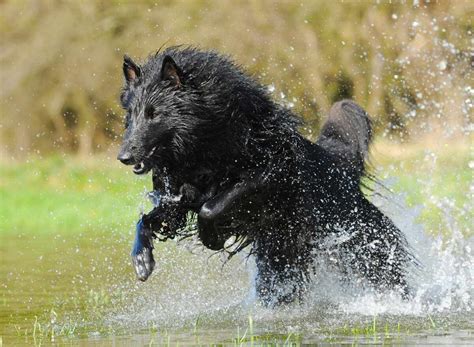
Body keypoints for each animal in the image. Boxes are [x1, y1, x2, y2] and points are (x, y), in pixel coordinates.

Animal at [116, 47, 412, 308]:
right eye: (131, 115)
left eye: (154, 114)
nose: (123, 156)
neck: (205, 141)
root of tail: (341, 169)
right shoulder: (177, 200)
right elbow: (146, 220)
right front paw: (141, 259)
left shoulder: (266, 174)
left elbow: (212, 207)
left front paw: (212, 237)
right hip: (281, 262)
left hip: (366, 251)